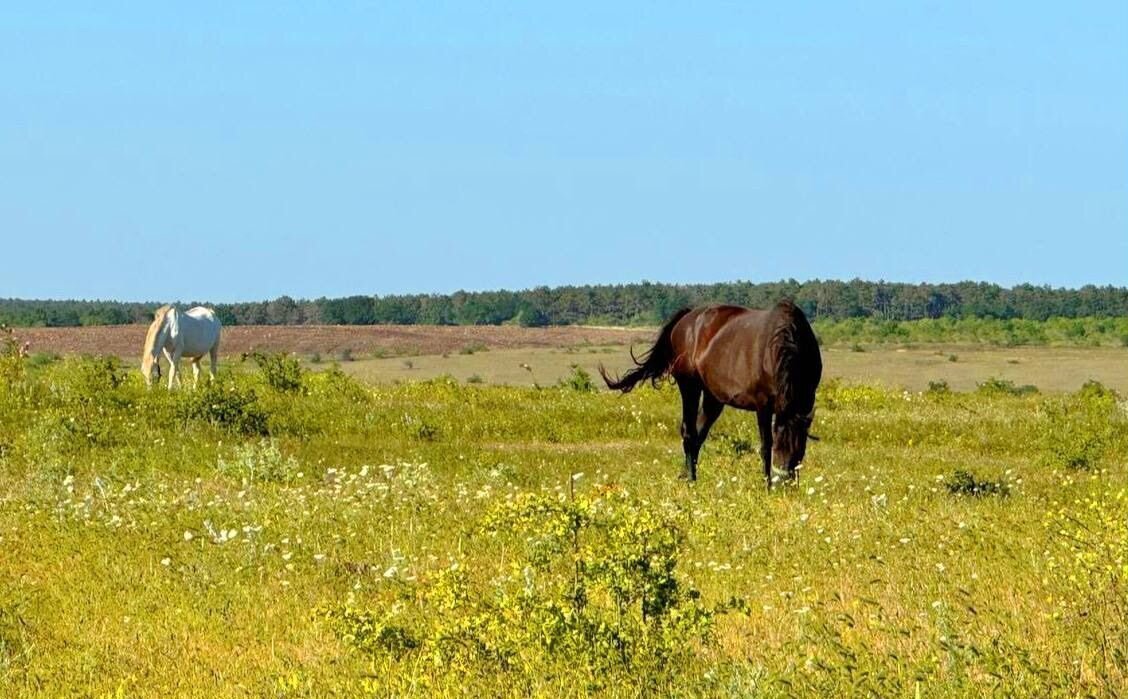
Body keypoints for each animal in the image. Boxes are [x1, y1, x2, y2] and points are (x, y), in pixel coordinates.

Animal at [600, 299, 830, 487]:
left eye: (799, 447)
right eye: (780, 446)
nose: (784, 484)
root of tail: (685, 319)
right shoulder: (763, 405)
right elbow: (766, 446)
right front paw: (766, 486)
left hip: (713, 398)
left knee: (699, 434)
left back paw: (686, 474)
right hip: (689, 386)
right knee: (689, 432)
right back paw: (691, 481)